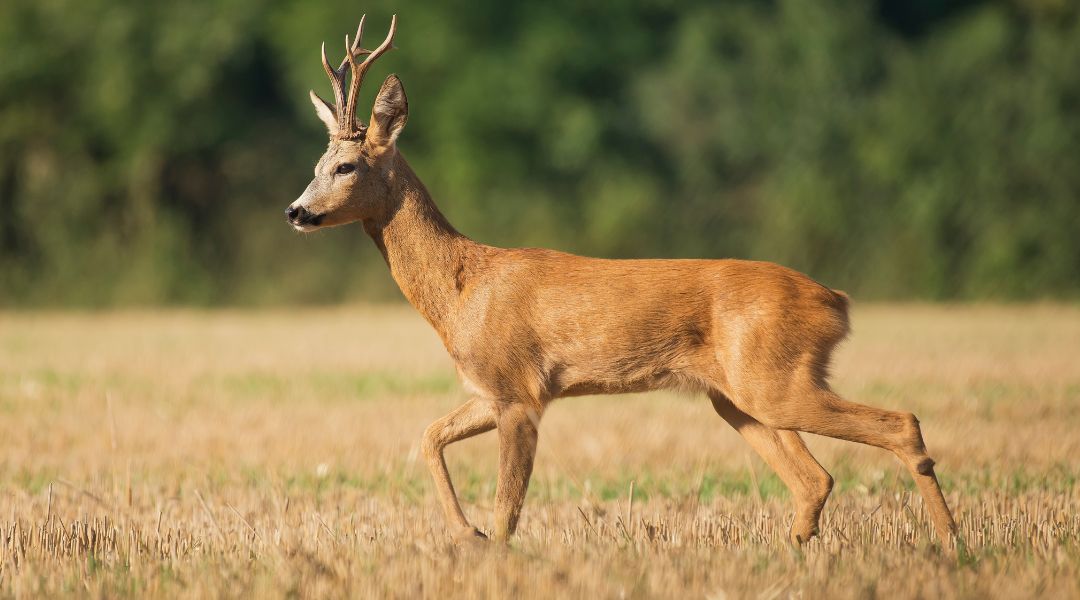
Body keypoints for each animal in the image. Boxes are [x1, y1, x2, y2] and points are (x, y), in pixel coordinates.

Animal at [282, 15, 959, 548]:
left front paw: (489, 547)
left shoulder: (520, 390)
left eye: (346, 166)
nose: (296, 211)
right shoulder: (489, 389)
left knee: (899, 424)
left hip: (774, 378)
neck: (459, 291)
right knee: (816, 478)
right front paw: (464, 534)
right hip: (739, 395)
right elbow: (427, 437)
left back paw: (952, 544)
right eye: (316, 164)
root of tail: (835, 301)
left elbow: (508, 506)